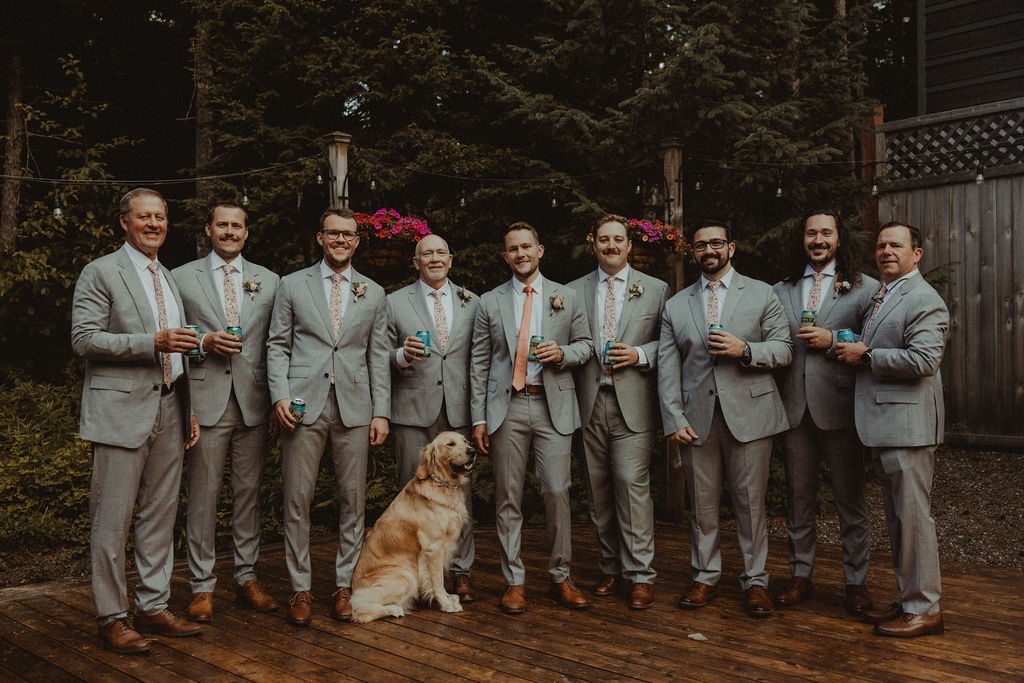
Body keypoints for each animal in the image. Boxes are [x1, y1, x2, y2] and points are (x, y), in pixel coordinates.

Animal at [350, 432, 477, 626]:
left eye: (465, 441)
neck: (443, 485)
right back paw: (394, 609)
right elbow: (437, 580)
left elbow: (438, 579)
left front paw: (448, 597)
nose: (472, 451)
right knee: (359, 610)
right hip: (406, 575)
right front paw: (446, 603)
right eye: (450, 444)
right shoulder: (434, 547)